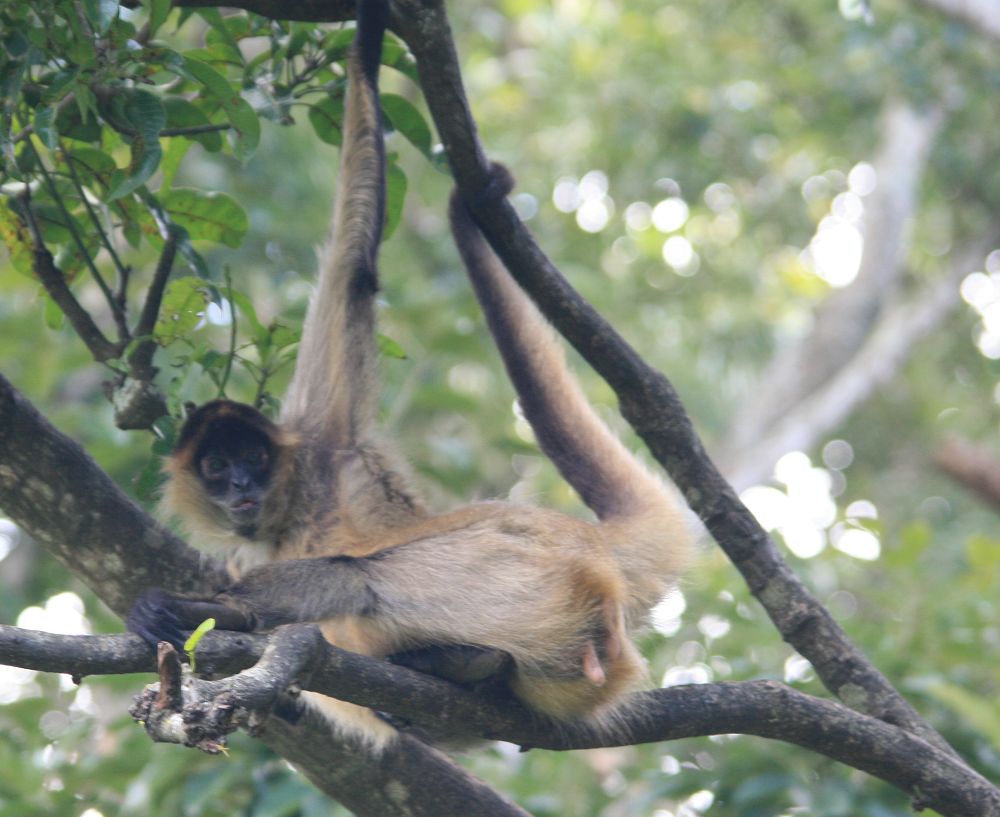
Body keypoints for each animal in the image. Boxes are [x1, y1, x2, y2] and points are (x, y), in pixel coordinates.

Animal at [127, 0, 696, 748]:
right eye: (218, 469)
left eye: (252, 458)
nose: (244, 485)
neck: (297, 507)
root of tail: (591, 541)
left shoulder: (327, 436)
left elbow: (356, 265)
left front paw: (367, 39)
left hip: (525, 569)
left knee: (359, 578)